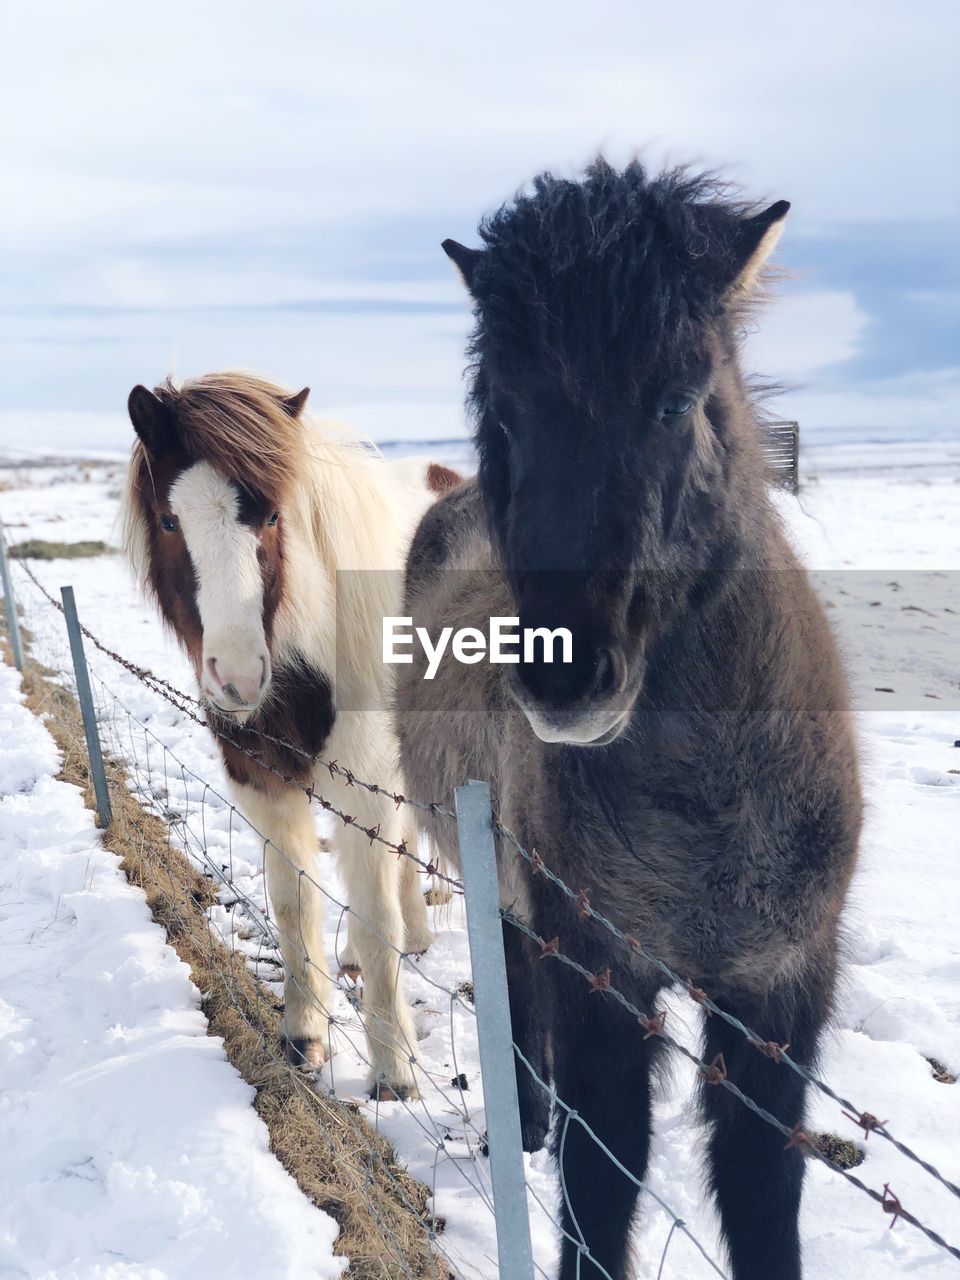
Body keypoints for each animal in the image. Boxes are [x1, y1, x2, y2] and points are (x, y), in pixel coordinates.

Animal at [122, 373, 455, 1100]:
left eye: (272, 517)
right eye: (169, 520)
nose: (240, 675)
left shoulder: (365, 789)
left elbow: (374, 916)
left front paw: (395, 1073)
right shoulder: (264, 784)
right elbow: (292, 903)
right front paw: (304, 1036)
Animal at [394, 162, 860, 1280]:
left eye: (678, 398)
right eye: (503, 410)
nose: (565, 681)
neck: (712, 805)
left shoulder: (778, 997)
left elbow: (762, 1202)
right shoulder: (604, 979)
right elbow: (601, 1191)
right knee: (516, 997)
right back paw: (517, 1129)